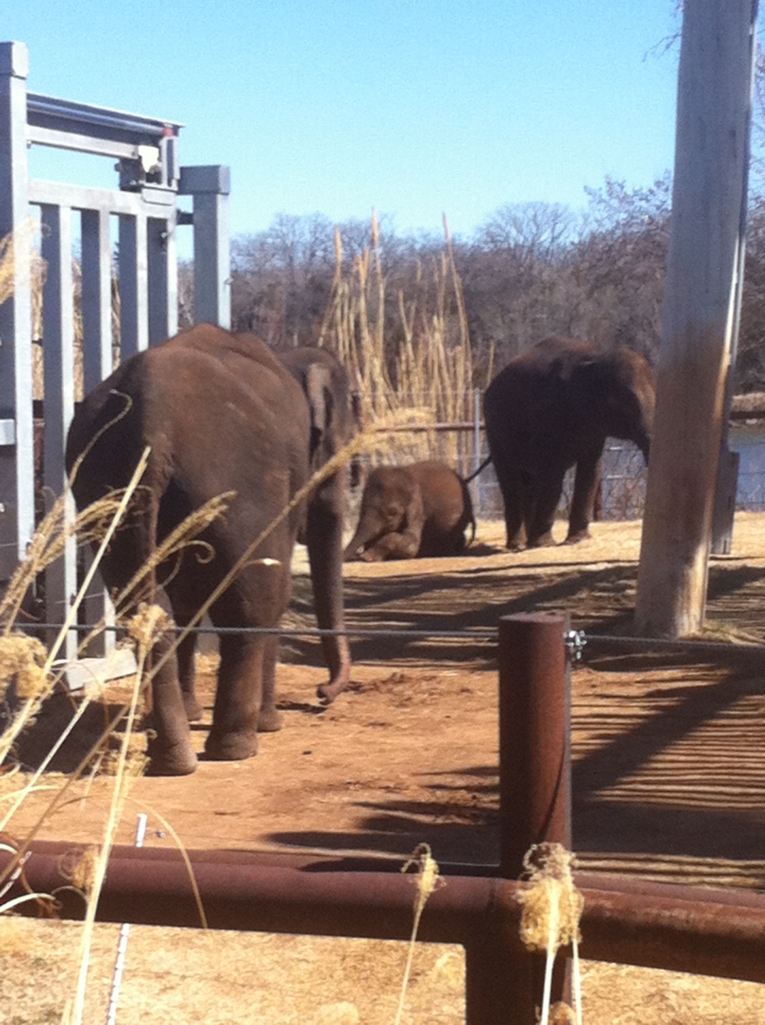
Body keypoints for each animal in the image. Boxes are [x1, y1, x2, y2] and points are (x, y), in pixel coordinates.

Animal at [65, 324, 355, 776]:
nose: (323, 693)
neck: (288, 356)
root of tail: (152, 419)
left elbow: (186, 598)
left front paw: (193, 715)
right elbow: (274, 583)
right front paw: (271, 723)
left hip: (109, 492)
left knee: (147, 609)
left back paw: (174, 757)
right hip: (236, 483)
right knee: (253, 602)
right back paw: (237, 747)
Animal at [343, 460, 476, 562]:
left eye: (392, 513)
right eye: (361, 508)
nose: (357, 555)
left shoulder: (418, 508)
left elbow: (412, 545)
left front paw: (367, 557)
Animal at [477, 336, 654, 550]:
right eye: (629, 403)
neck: (597, 356)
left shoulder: (593, 429)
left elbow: (591, 470)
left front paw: (578, 540)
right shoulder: (552, 413)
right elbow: (554, 473)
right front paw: (545, 545)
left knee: (530, 481)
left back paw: (526, 542)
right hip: (495, 430)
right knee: (511, 480)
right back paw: (518, 545)